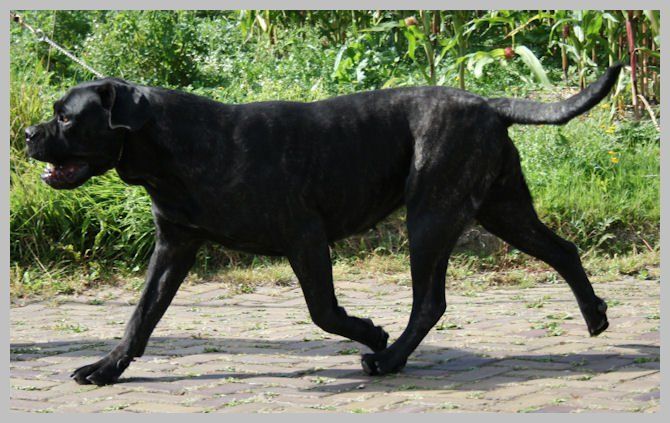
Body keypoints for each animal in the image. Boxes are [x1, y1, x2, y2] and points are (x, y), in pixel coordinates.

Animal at [25, 65, 620, 385]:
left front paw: (371, 331)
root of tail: (488, 104)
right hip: (503, 210)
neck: (170, 148)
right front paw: (106, 367)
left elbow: (323, 311)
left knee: (430, 301)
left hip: (430, 217)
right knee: (563, 250)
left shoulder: (305, 239)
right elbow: (141, 317)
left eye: (66, 116)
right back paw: (594, 317)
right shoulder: (174, 247)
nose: (28, 134)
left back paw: (387, 357)